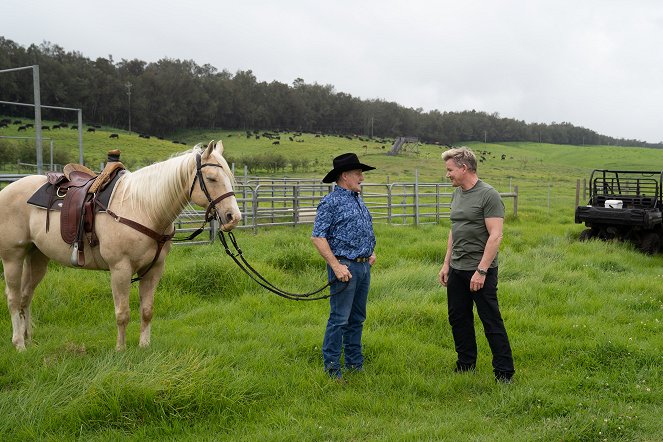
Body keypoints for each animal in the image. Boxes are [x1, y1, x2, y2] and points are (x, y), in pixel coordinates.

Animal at [0, 140, 243, 350]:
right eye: (211, 178)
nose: (233, 217)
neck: (143, 207)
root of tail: (7, 190)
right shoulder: (120, 269)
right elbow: (123, 313)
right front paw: (121, 349)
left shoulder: (154, 270)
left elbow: (147, 310)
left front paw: (144, 346)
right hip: (13, 257)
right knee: (13, 298)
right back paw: (19, 344)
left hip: (37, 257)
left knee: (26, 297)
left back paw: (28, 339)